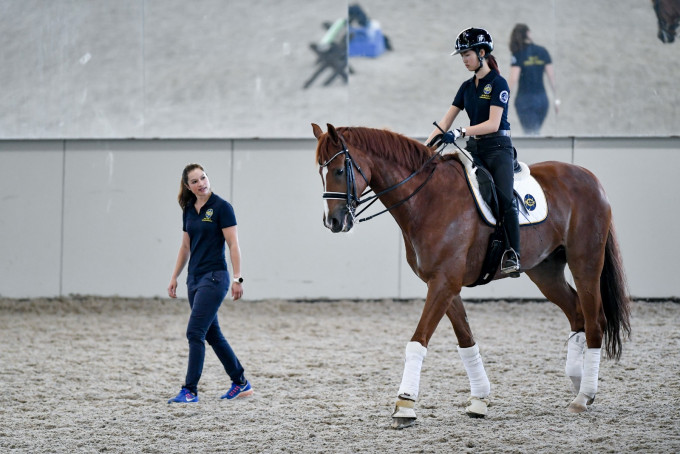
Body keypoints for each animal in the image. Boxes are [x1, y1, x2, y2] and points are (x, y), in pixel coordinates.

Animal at [314, 122, 632, 428]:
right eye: (320, 171)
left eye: (339, 170)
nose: (333, 222)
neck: (428, 200)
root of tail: (588, 177)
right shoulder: (444, 284)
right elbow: (466, 341)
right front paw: (479, 400)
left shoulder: (444, 282)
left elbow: (417, 342)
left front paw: (404, 406)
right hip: (545, 271)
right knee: (576, 313)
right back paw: (578, 384)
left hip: (585, 262)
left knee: (595, 321)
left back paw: (584, 396)